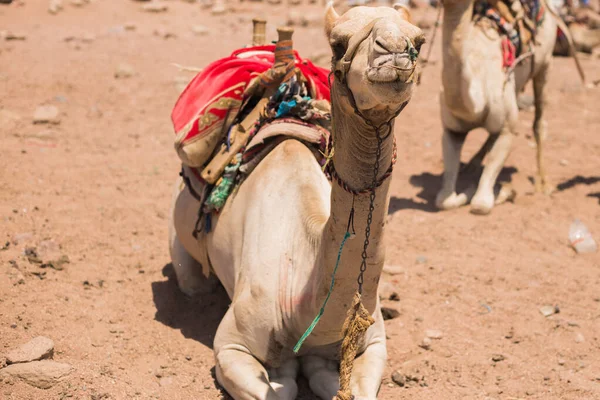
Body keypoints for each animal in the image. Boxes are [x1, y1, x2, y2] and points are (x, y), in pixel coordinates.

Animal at [166, 3, 424, 400]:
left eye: (419, 40)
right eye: (337, 43)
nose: (394, 51)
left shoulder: (374, 343)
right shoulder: (230, 346)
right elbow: (282, 387)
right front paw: (285, 373)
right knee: (192, 279)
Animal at [436, 0, 564, 214]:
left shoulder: (506, 131)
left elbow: (480, 205)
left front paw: (502, 191)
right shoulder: (451, 131)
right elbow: (443, 201)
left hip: (545, 63)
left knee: (538, 121)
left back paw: (543, 184)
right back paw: (471, 165)